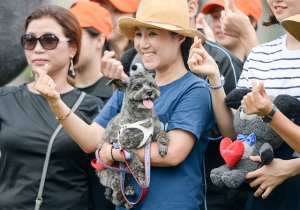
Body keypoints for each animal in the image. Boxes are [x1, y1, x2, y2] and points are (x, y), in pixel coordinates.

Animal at [97, 67, 170, 208]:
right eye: (137, 86)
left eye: (152, 85)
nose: (149, 91)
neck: (142, 117)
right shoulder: (126, 148)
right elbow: (136, 165)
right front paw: (142, 178)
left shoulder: (155, 132)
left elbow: (163, 134)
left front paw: (163, 145)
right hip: (113, 175)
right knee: (116, 194)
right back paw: (125, 202)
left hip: (123, 170)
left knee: (125, 180)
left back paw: (128, 189)